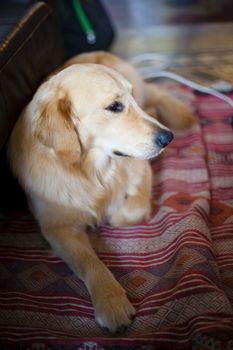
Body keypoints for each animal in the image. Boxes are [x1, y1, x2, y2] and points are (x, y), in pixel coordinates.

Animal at [8, 50, 194, 332]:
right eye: (115, 106)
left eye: (127, 101)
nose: (167, 137)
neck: (92, 171)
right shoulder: (56, 226)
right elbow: (89, 262)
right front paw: (111, 302)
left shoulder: (141, 167)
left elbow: (127, 212)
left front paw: (109, 213)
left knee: (154, 95)